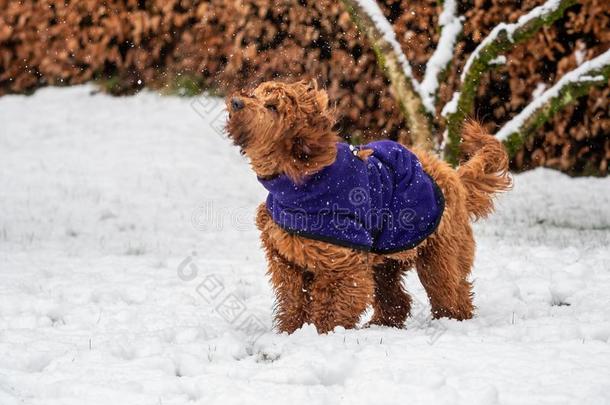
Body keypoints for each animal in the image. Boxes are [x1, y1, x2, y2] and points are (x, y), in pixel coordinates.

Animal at [223, 80, 508, 332]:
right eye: (256, 93)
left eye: (272, 107)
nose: (236, 101)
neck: (303, 179)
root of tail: (452, 175)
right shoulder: (285, 259)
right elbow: (294, 299)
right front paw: (291, 331)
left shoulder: (342, 264)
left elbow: (332, 305)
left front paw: (324, 334)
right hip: (388, 254)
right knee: (397, 298)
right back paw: (382, 324)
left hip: (440, 254)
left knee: (451, 291)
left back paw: (453, 321)